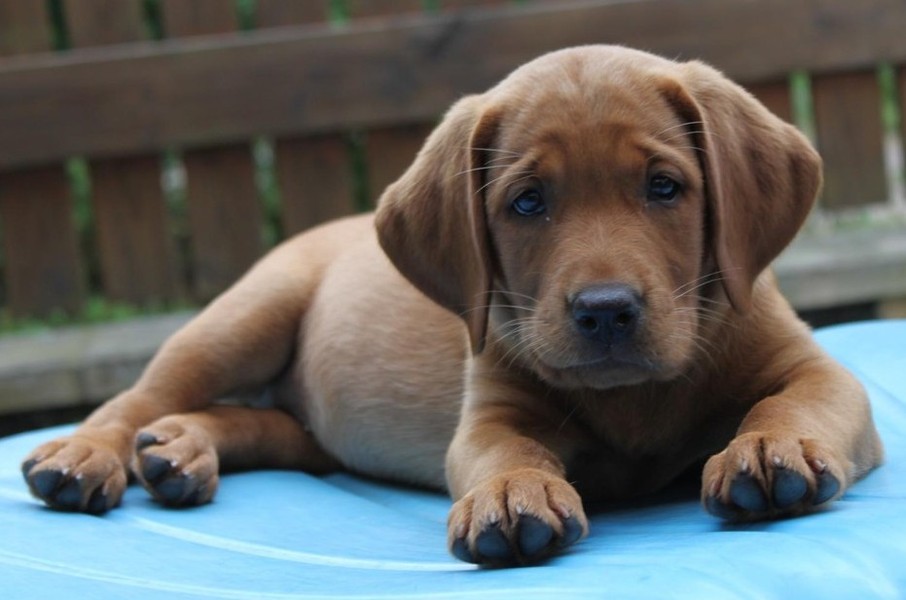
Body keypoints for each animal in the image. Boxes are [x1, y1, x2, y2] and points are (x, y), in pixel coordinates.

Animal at [22, 45, 884, 566]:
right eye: (528, 202)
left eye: (664, 187)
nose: (605, 311)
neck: (636, 399)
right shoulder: (491, 414)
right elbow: (507, 452)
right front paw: (510, 494)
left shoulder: (821, 374)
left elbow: (790, 402)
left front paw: (770, 447)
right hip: (243, 318)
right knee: (139, 398)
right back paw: (88, 455)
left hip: (308, 423)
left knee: (266, 427)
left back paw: (180, 452)